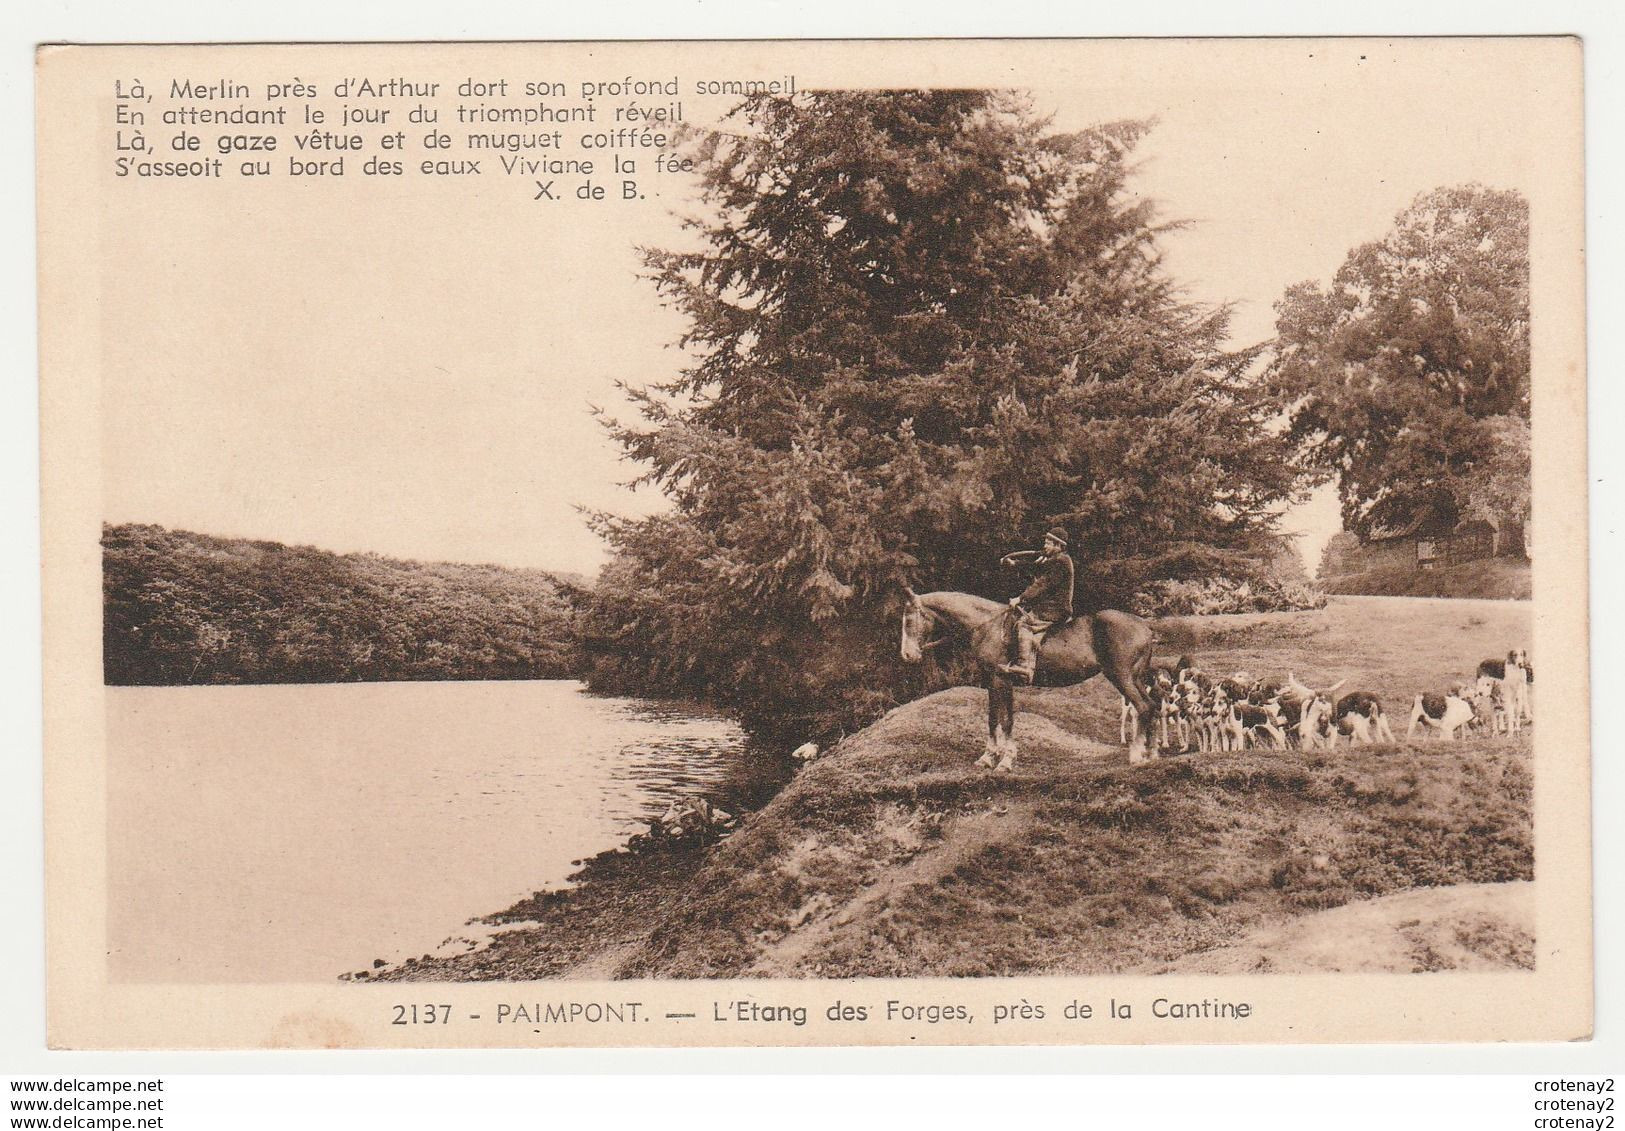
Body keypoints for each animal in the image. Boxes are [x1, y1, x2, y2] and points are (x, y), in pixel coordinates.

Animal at [903, 591, 1157, 770]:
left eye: (908, 621)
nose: (907, 655)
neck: (988, 626)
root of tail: (1144, 625)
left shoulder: (1001, 680)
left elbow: (1006, 721)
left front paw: (1005, 761)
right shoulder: (991, 681)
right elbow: (993, 718)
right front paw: (987, 757)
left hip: (1121, 676)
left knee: (1143, 707)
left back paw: (1136, 755)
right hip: (1135, 678)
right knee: (1151, 706)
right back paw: (1151, 753)